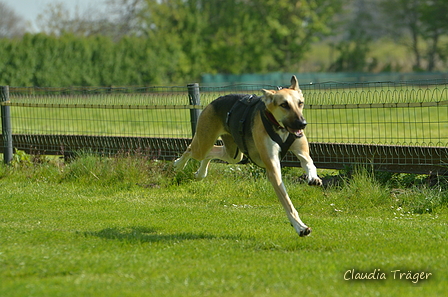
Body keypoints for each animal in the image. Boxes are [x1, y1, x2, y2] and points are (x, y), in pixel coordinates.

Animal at [174, 75, 322, 236]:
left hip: (233, 153)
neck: (279, 127)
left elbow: (309, 162)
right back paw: (178, 164)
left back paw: (200, 173)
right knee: (192, 149)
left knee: (212, 153)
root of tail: (215, 101)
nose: (302, 123)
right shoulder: (273, 168)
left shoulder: (302, 150)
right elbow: (287, 201)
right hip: (204, 142)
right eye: (284, 104)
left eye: (300, 103)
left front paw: (313, 178)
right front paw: (300, 227)